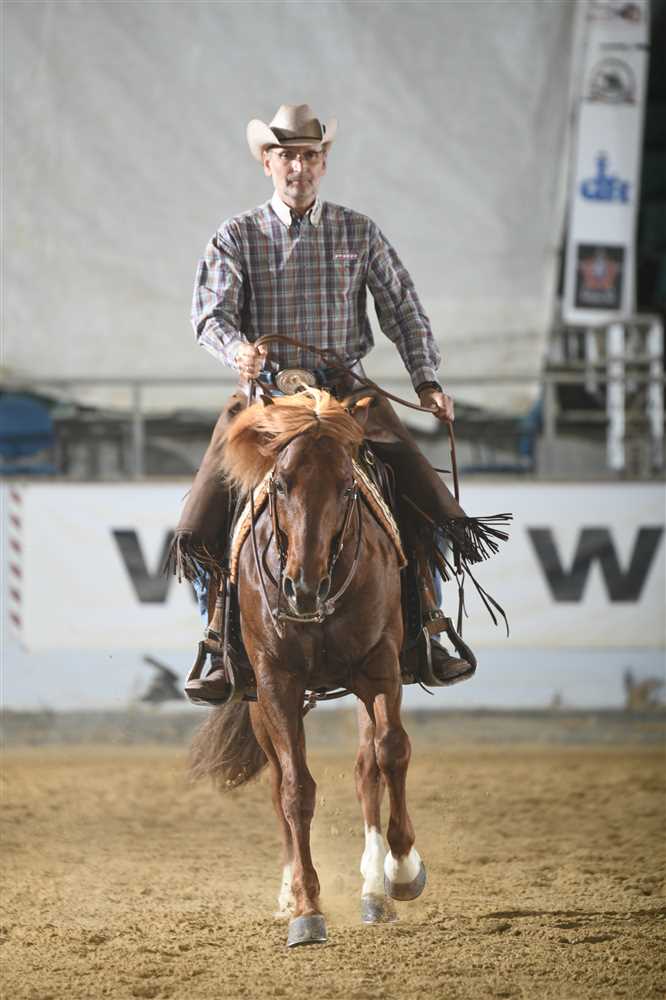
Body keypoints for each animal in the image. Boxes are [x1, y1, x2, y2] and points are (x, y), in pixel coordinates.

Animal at [189, 387, 426, 947]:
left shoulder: (380, 666)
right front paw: (306, 909)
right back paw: (289, 892)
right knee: (279, 784)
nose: (303, 587)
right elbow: (296, 789)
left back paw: (375, 890)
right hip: (260, 704)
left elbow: (391, 753)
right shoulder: (277, 682)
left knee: (368, 767)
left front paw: (403, 869)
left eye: (347, 486)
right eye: (280, 483)